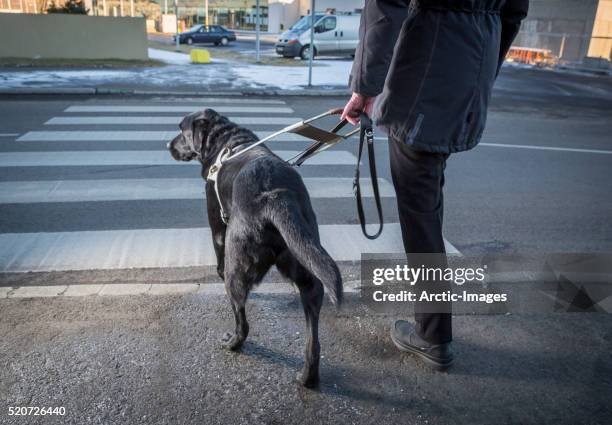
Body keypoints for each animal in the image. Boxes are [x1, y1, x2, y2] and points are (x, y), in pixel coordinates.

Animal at [167, 107, 342, 386]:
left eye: (181, 132)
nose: (167, 145)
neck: (226, 140)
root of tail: (275, 196)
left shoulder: (217, 225)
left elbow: (218, 257)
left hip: (237, 263)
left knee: (242, 318)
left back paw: (233, 343)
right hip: (306, 262)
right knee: (313, 336)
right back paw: (308, 376)